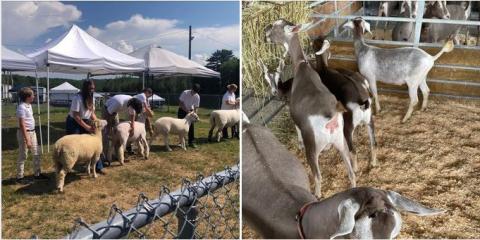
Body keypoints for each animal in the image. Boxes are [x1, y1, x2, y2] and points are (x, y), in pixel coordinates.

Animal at [264, 18, 354, 198]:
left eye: (276, 25)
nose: (265, 35)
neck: (302, 67)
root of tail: (331, 118)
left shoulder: (295, 116)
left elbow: (297, 128)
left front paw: (298, 143)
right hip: (342, 143)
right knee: (351, 173)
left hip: (312, 148)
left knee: (318, 176)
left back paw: (317, 195)